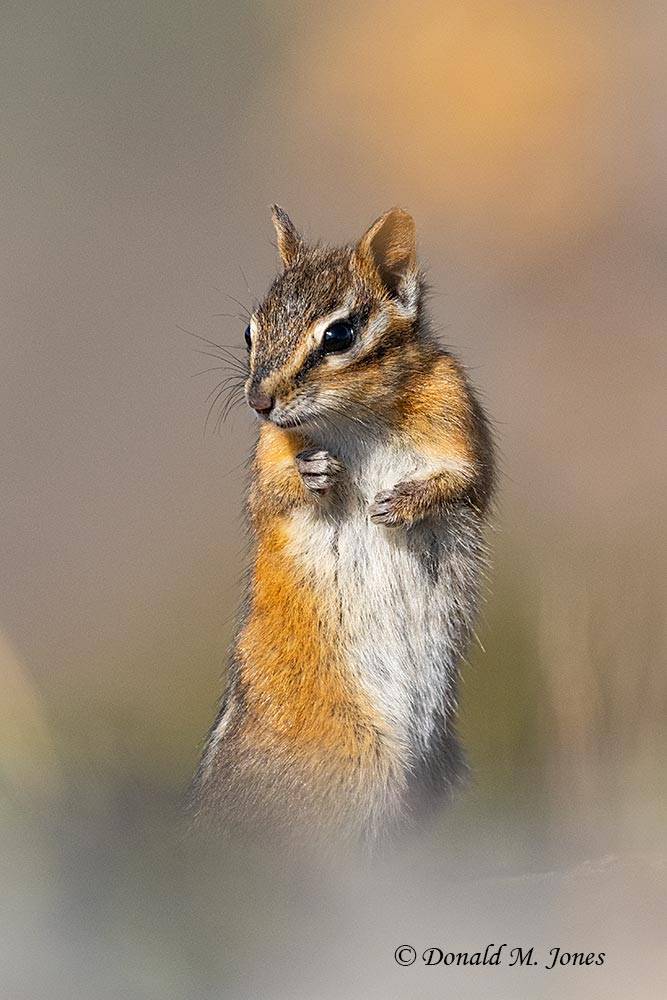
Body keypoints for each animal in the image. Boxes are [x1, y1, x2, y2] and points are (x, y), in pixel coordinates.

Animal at [192, 206, 495, 845]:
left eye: (338, 336)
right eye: (250, 331)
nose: (258, 401)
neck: (358, 416)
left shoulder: (460, 419)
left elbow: (468, 482)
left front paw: (402, 503)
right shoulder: (269, 454)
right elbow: (268, 496)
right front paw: (316, 473)